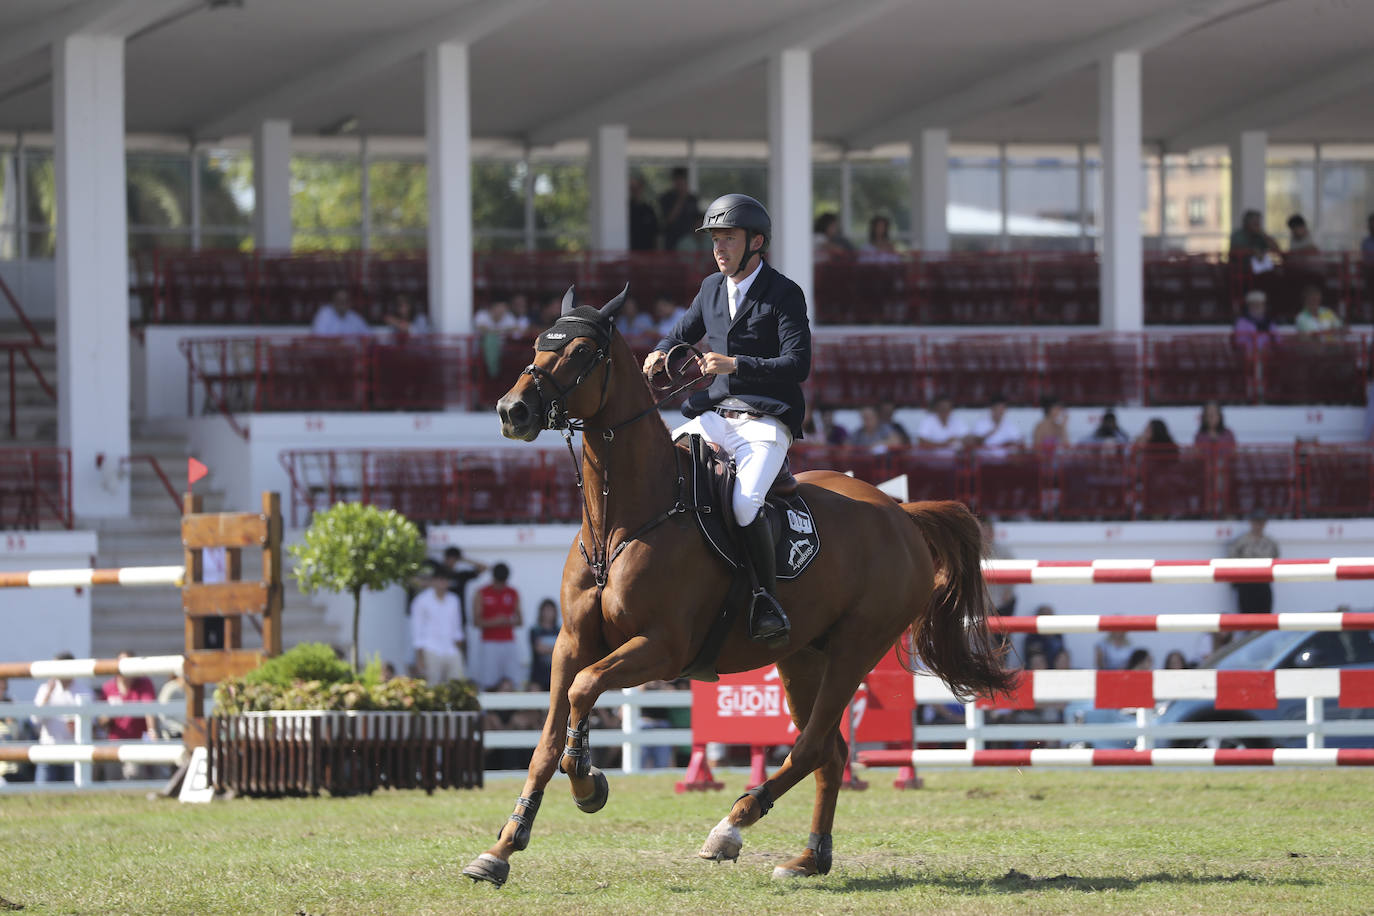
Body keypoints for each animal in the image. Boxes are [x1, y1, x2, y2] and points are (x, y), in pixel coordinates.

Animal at [461, 288, 1011, 889]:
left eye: (581, 351)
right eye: (540, 342)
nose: (511, 411)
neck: (621, 523)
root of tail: (900, 513)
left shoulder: (662, 648)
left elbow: (585, 690)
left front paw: (587, 782)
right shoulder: (570, 642)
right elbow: (545, 742)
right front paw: (502, 847)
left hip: (855, 650)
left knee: (811, 746)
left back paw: (731, 827)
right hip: (803, 658)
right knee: (831, 752)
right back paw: (808, 858)